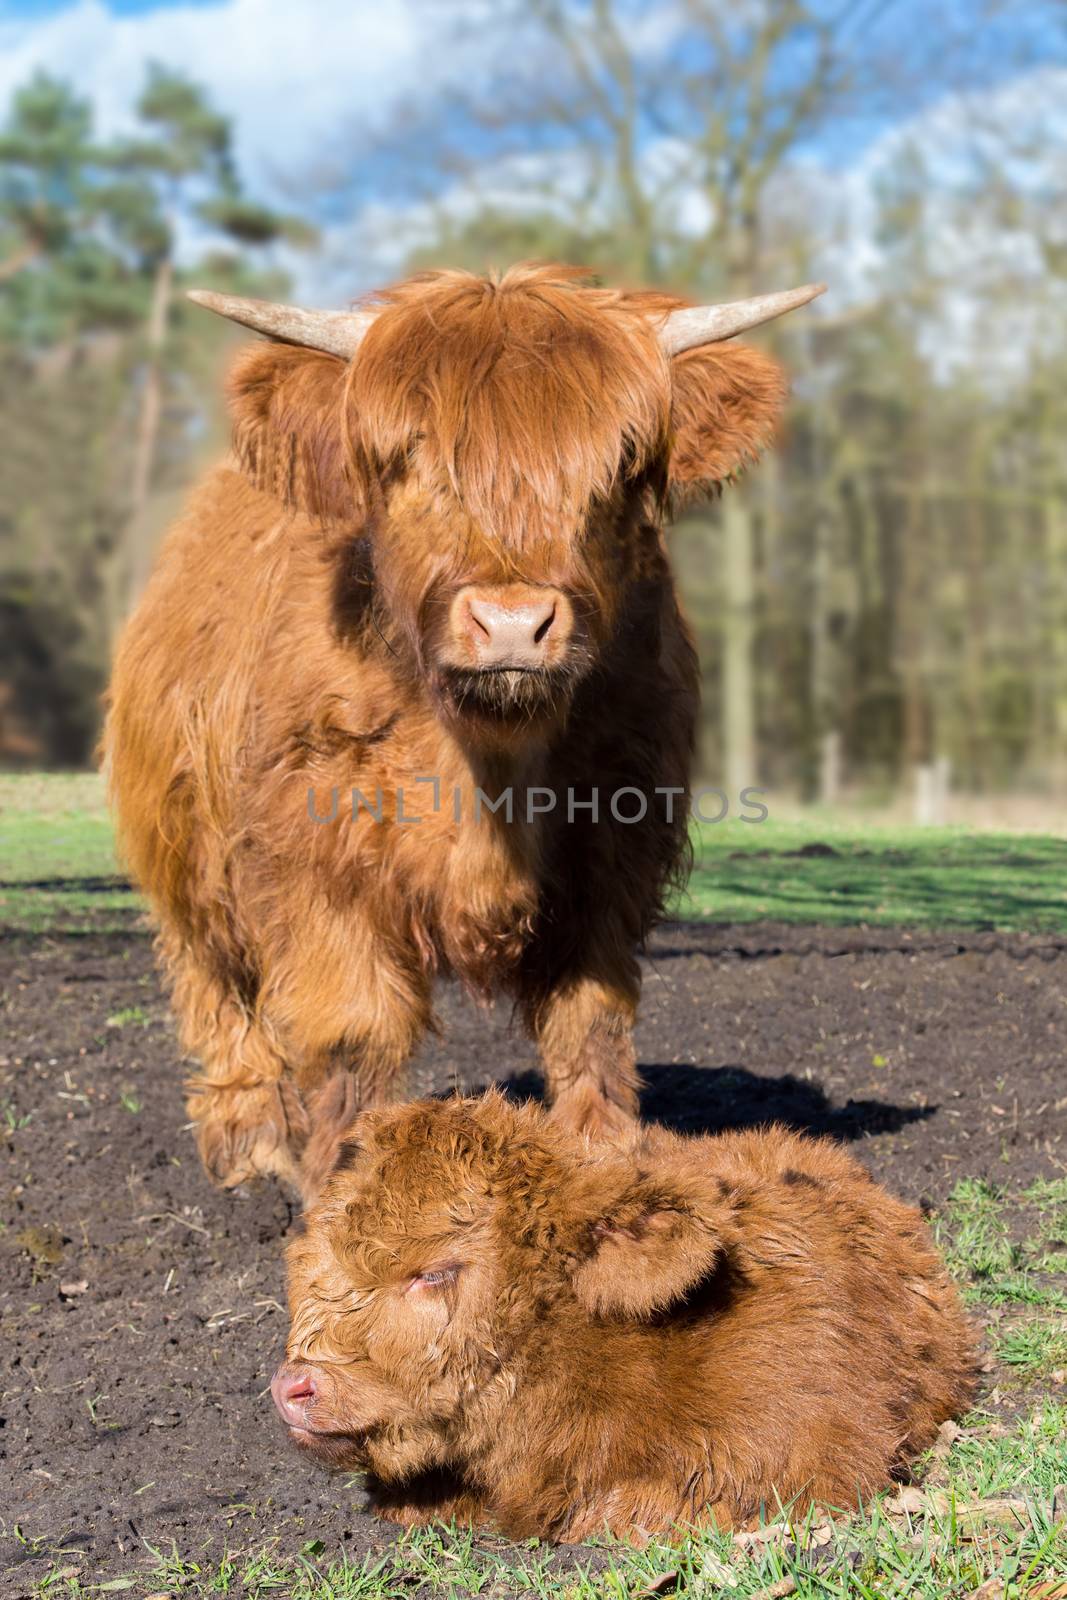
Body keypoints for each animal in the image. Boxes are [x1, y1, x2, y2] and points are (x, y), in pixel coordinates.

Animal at [106, 262, 825, 1190]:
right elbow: (353, 1033)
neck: (492, 758)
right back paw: (251, 1140)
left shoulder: (612, 845)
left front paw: (601, 1161)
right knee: (215, 984)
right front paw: (346, 1183)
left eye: (620, 465)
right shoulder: (318, 859)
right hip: (180, 847)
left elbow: (590, 1019)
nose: (513, 623)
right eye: (409, 462)